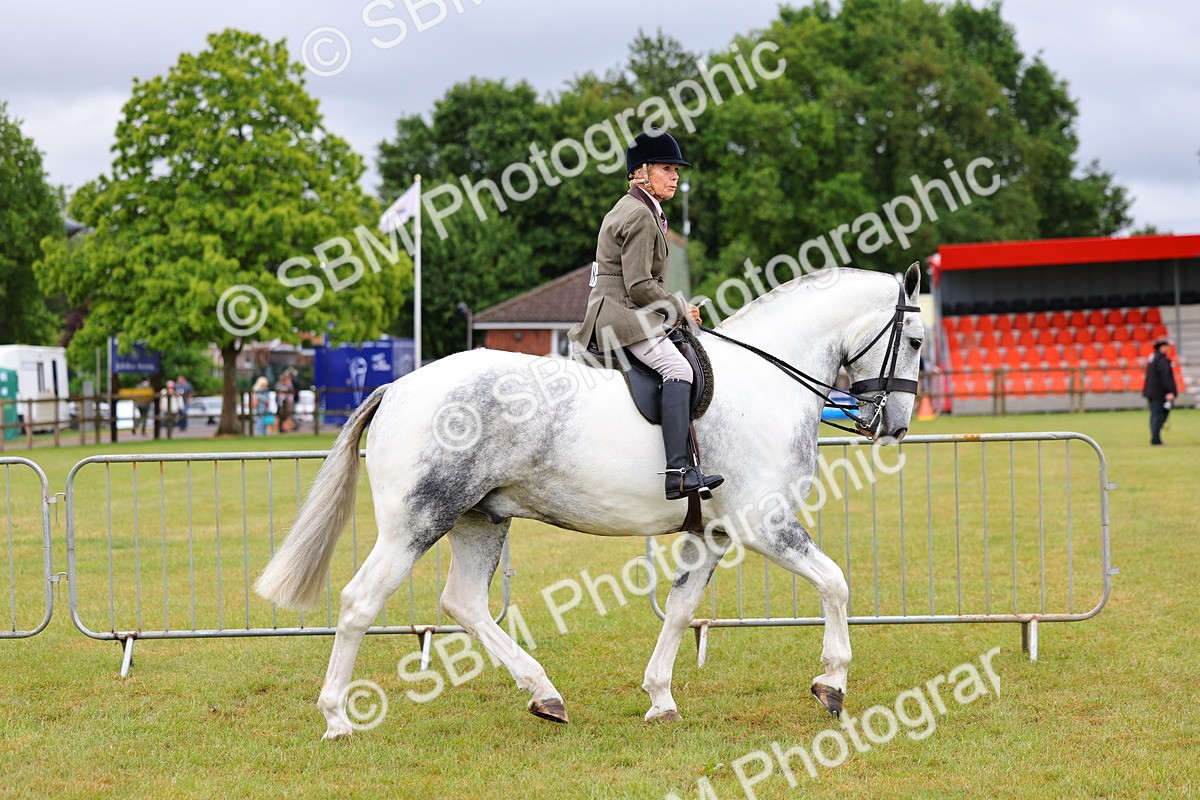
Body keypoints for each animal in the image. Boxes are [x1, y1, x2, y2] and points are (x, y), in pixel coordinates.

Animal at [255, 264, 924, 740]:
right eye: (917, 340)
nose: (894, 426)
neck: (769, 381)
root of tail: (396, 387)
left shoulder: (712, 534)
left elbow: (680, 611)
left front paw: (660, 699)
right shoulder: (766, 525)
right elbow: (835, 582)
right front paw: (832, 683)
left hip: (480, 519)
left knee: (465, 603)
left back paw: (545, 694)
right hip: (416, 522)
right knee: (360, 602)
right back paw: (337, 718)